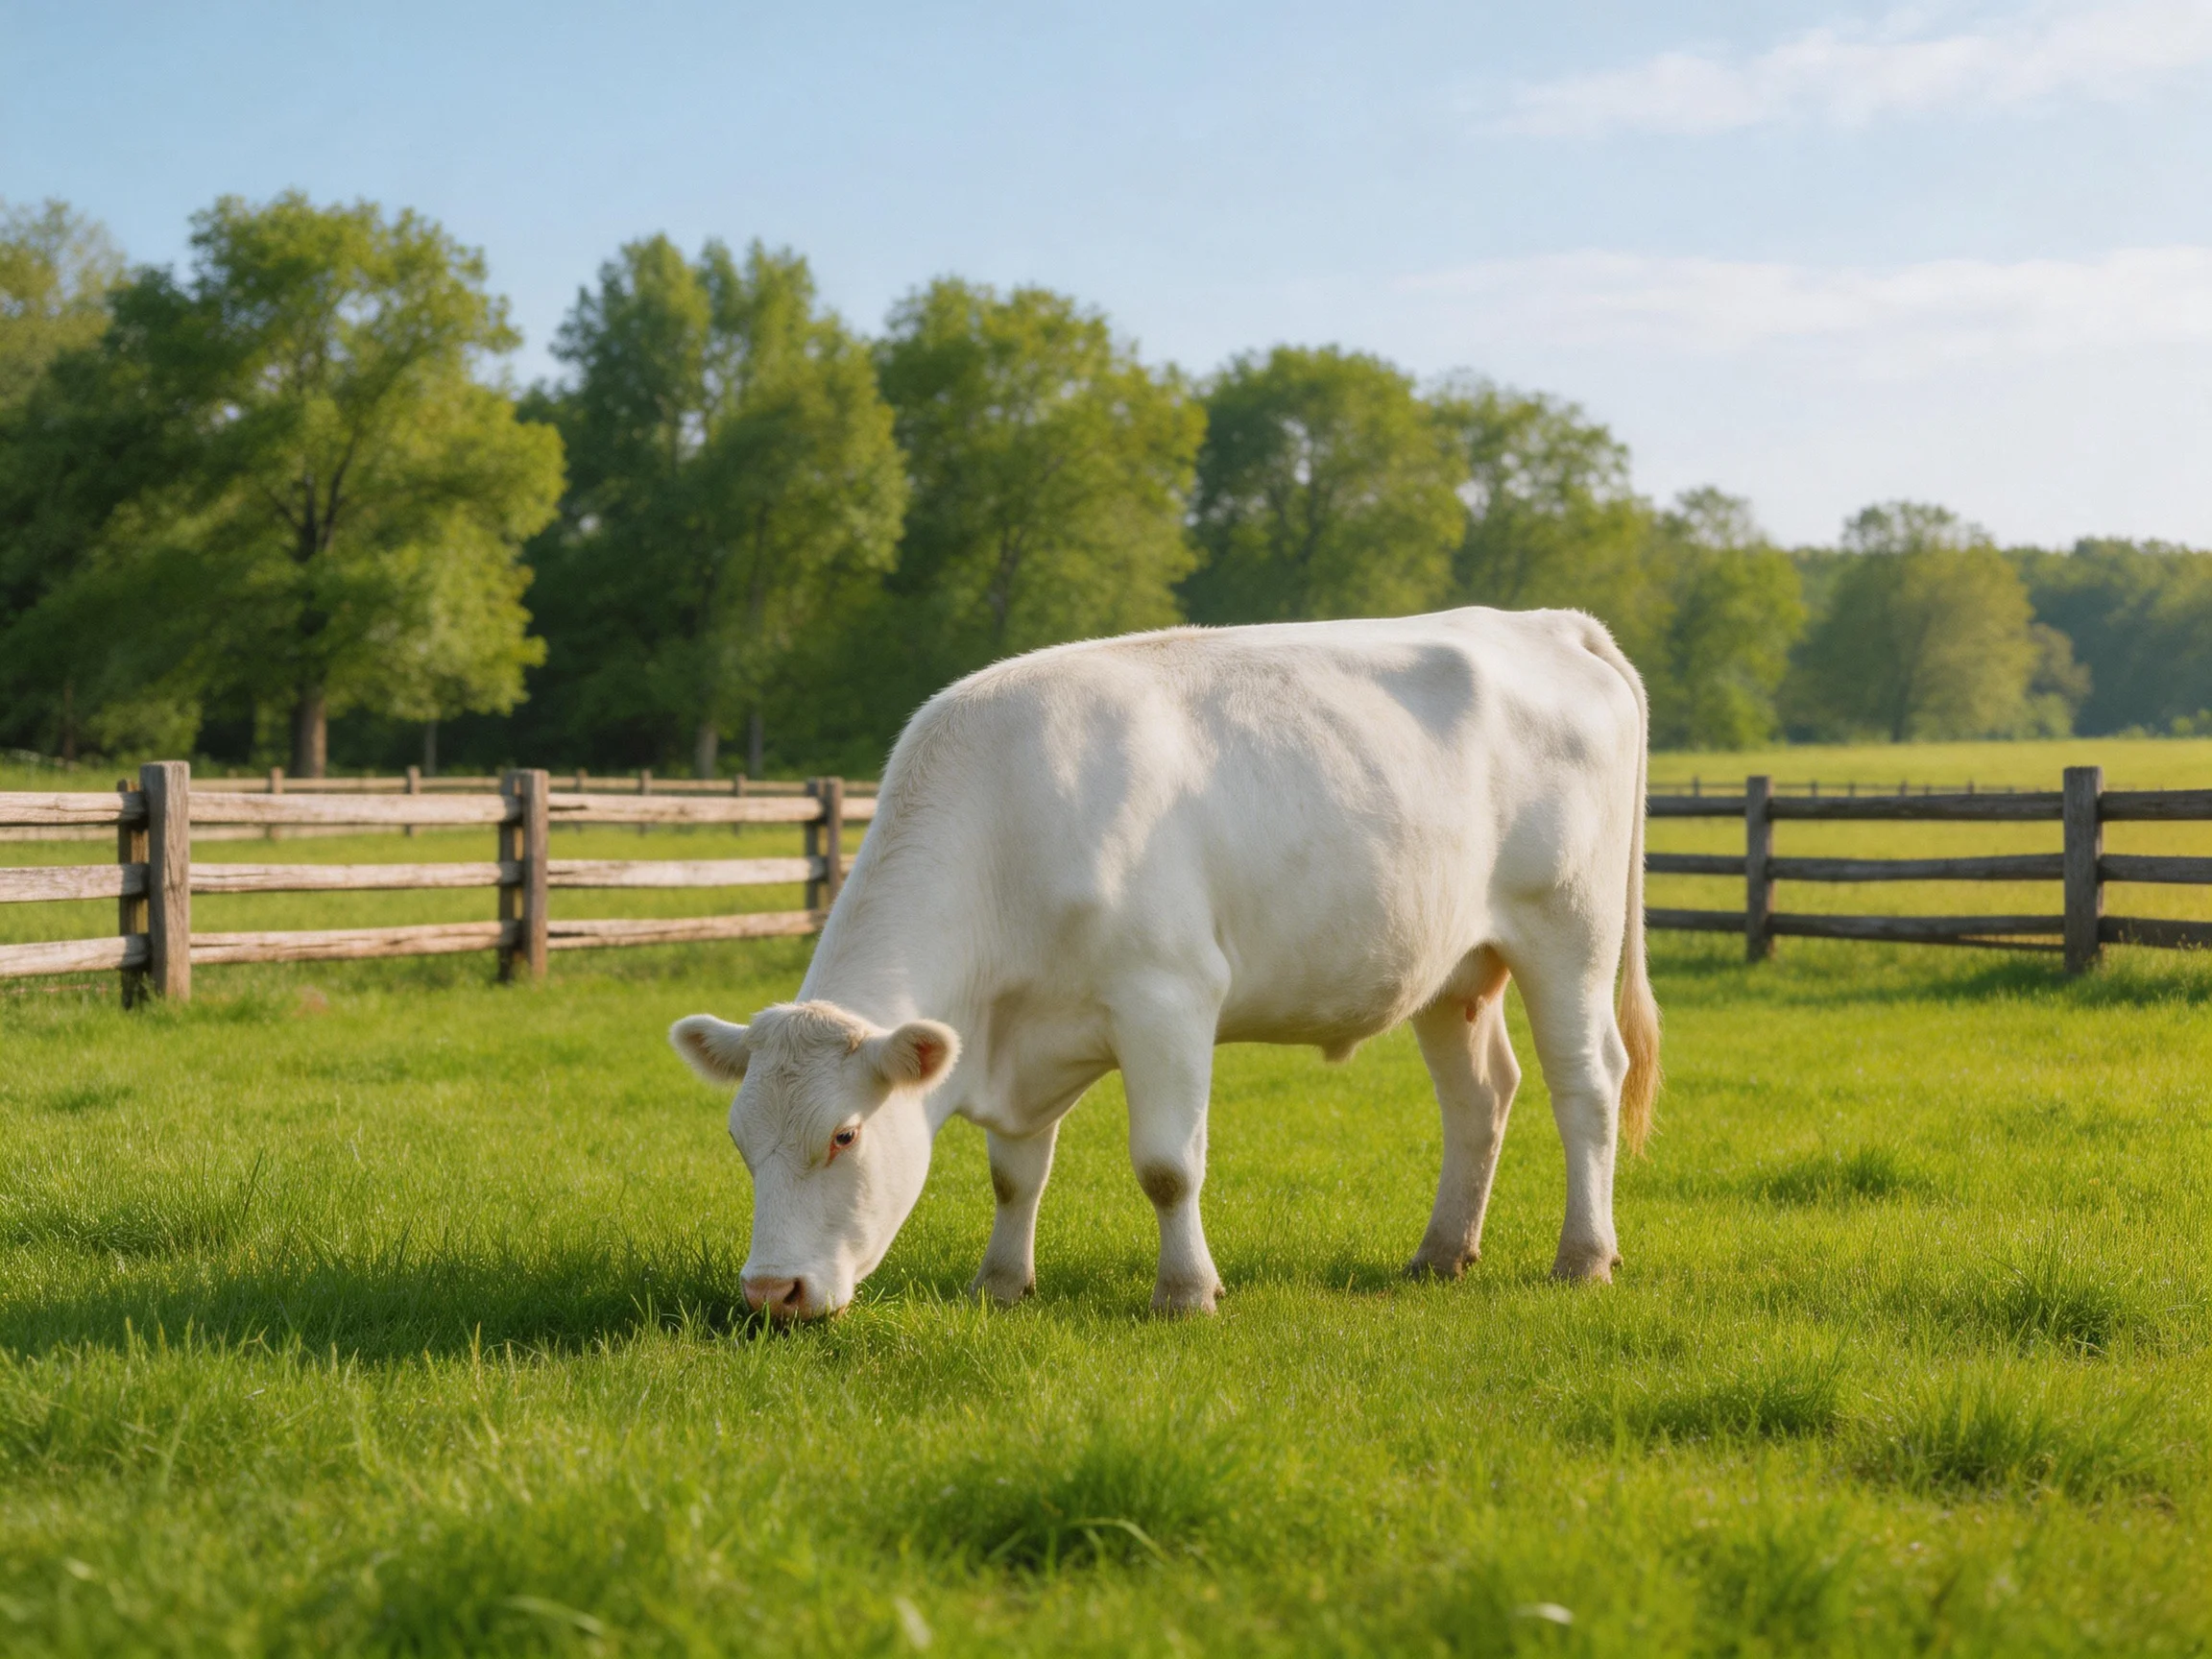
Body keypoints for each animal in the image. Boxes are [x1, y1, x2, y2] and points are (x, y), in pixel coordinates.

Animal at [671, 607, 1660, 1321]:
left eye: (845, 1135)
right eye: (738, 1139)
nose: (770, 1292)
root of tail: (1546, 622)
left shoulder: (1169, 999)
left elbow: (1166, 1165)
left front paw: (1186, 1293)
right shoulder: (1019, 1033)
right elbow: (1015, 1172)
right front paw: (1000, 1284)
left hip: (1568, 932)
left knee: (1587, 1084)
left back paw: (1584, 1258)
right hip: (1456, 967)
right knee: (1480, 1096)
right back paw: (1440, 1253)